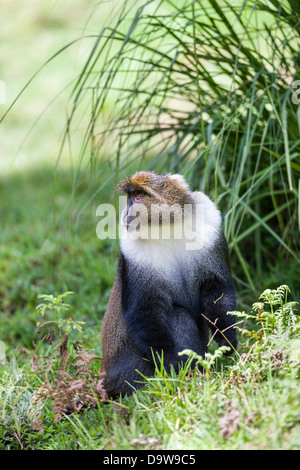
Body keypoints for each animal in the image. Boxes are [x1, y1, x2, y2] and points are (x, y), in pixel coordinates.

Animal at [101, 171, 237, 394]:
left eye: (138, 196)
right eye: (130, 196)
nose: (125, 213)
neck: (167, 227)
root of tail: (107, 381)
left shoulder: (210, 225)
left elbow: (216, 287)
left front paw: (227, 337)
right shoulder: (134, 254)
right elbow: (146, 311)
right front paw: (173, 366)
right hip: (130, 374)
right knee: (178, 316)